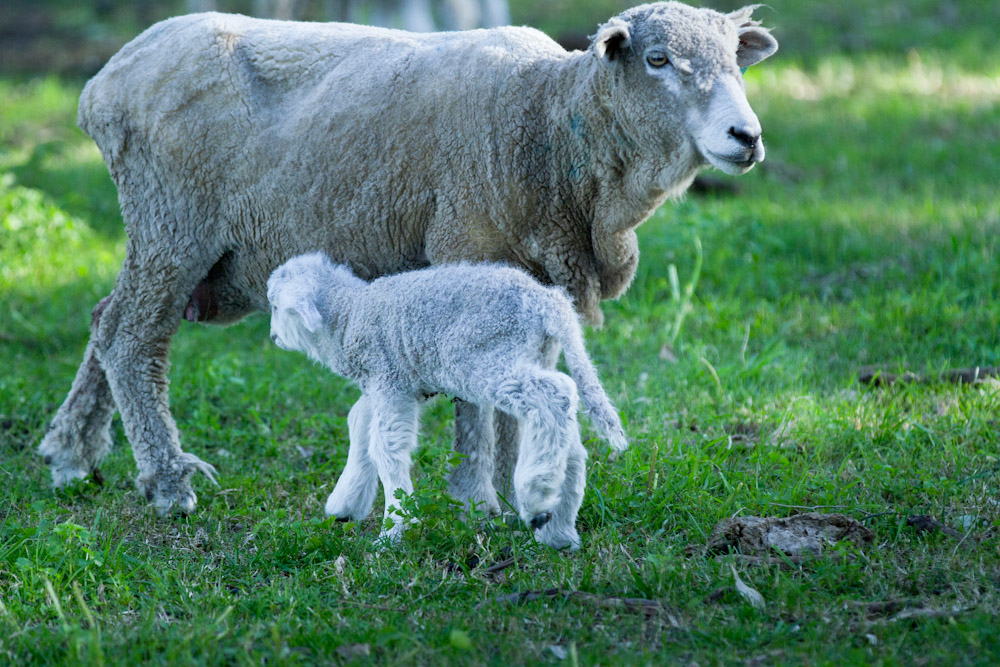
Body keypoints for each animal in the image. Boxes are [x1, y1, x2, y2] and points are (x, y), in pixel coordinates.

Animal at [41, 1, 780, 516]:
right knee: (131, 336)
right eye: (657, 59)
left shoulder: (534, 278)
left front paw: (513, 491)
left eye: (736, 62)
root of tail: (102, 84)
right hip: (174, 220)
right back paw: (167, 481)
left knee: (105, 319)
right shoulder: (466, 249)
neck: (551, 122)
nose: (746, 136)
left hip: (162, 231)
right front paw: (478, 495)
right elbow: (477, 402)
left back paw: (70, 452)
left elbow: (513, 397)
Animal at [266, 253, 624, 552]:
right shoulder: (389, 385)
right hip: (535, 354)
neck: (348, 314)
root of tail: (546, 301)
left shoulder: (389, 380)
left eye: (275, 306)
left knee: (555, 394)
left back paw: (535, 496)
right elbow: (359, 423)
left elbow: (386, 447)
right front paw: (345, 502)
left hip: (488, 358)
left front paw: (394, 529)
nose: (272, 337)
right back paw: (558, 527)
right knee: (567, 433)